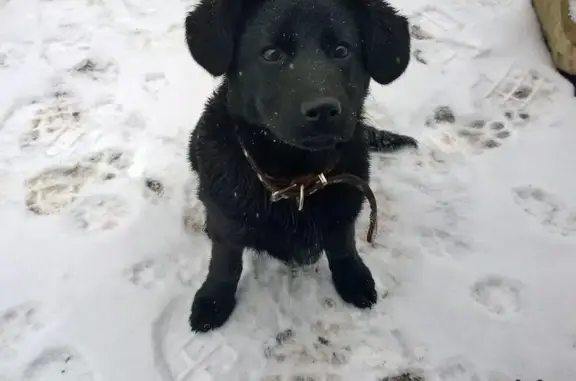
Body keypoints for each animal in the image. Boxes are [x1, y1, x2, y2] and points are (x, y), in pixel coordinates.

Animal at [183, 0, 414, 332]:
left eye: (342, 50)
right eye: (271, 54)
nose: (324, 110)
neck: (296, 179)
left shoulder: (345, 208)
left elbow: (343, 245)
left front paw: (353, 277)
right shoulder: (226, 224)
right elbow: (225, 262)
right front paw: (214, 299)